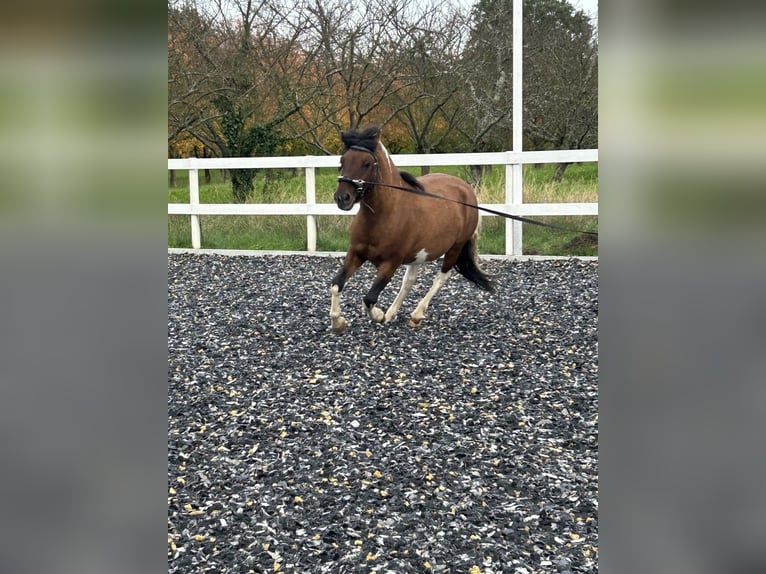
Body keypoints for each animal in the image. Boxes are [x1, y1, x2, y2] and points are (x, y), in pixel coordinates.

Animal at [328, 126, 492, 332]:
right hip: (417, 253)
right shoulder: (355, 253)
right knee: (409, 281)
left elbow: (369, 298)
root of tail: (466, 189)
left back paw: (416, 315)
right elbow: (337, 284)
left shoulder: (390, 263)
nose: (342, 198)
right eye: (342, 161)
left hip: (455, 248)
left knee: (440, 278)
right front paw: (338, 322)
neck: (383, 216)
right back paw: (392, 313)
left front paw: (379, 315)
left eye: (367, 163)